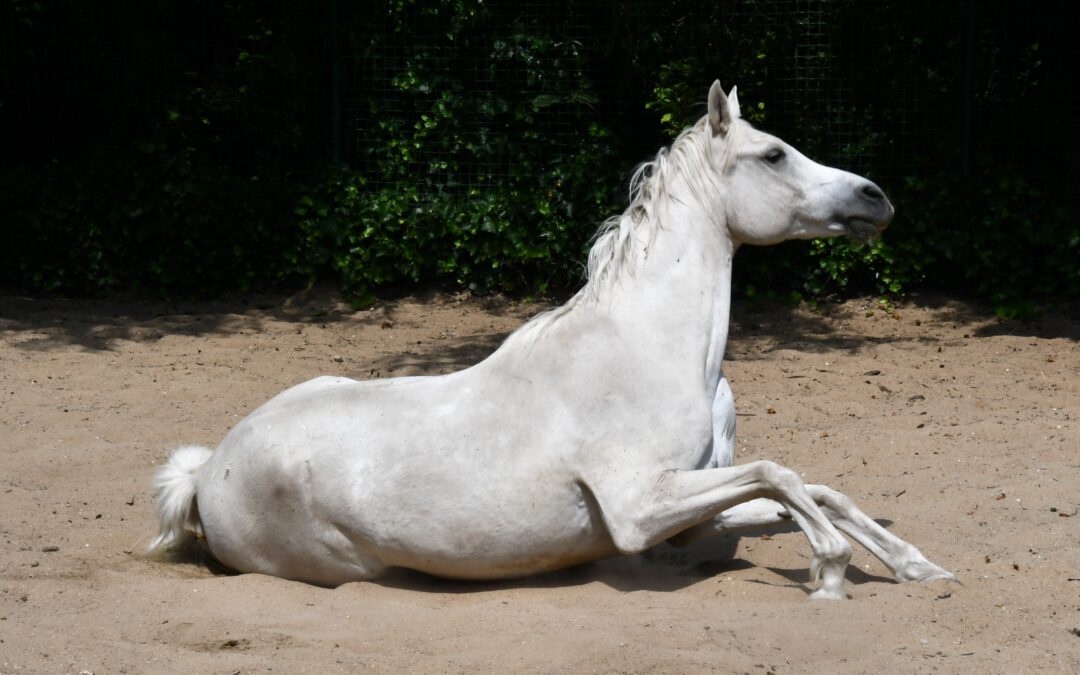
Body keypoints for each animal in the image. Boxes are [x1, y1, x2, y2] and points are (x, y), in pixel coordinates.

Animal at [147, 82, 955, 599]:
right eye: (775, 154)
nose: (877, 198)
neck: (646, 348)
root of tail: (206, 471)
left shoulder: (688, 512)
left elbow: (813, 486)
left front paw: (917, 565)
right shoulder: (641, 509)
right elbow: (781, 475)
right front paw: (830, 571)